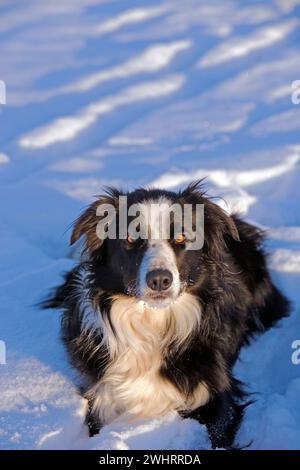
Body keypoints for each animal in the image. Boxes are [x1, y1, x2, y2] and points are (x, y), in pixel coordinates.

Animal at [45, 183, 290, 448]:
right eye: (130, 239)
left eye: (182, 237)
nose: (160, 280)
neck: (153, 323)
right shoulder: (102, 395)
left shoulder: (217, 393)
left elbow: (219, 433)